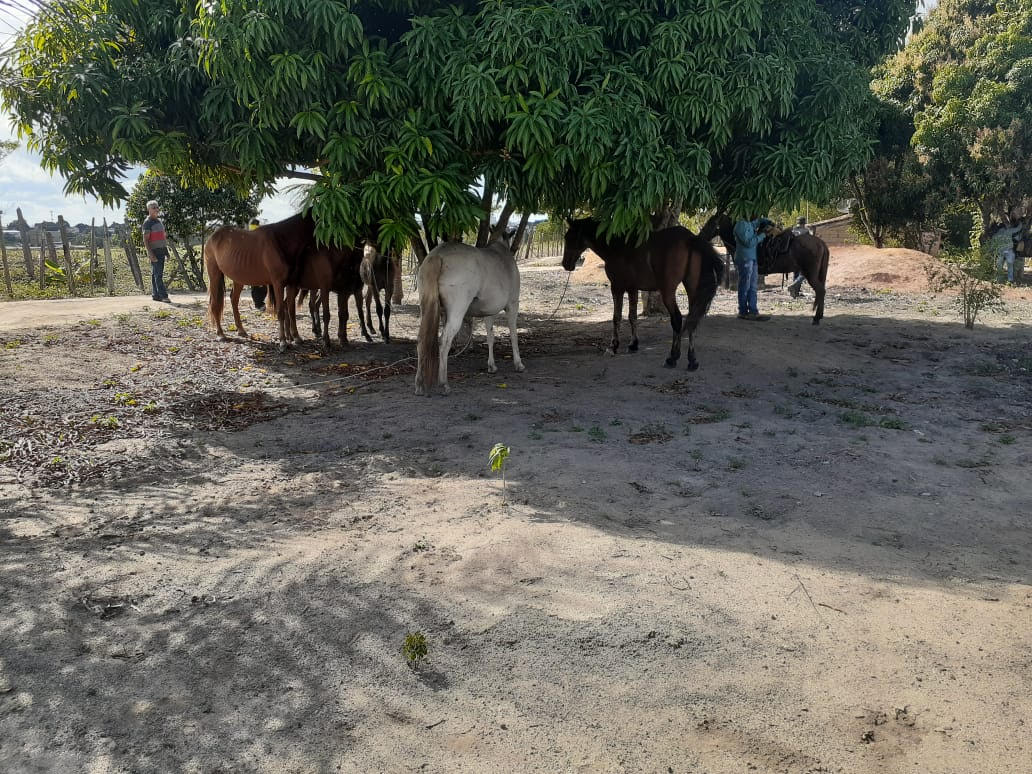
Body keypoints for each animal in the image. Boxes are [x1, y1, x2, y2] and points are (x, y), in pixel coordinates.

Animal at [412, 238, 524, 396]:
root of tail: (438, 255)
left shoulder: (489, 312)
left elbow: (490, 337)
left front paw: (492, 366)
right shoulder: (513, 305)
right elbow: (514, 335)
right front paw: (518, 364)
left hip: (427, 308)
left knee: (422, 339)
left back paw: (419, 385)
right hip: (457, 310)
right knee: (444, 341)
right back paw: (444, 384)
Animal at [565, 216, 726, 371]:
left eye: (568, 237)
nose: (566, 264)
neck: (618, 247)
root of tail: (690, 238)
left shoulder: (617, 287)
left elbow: (616, 317)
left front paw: (613, 346)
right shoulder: (632, 289)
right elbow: (632, 316)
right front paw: (633, 345)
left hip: (668, 291)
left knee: (677, 319)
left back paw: (672, 358)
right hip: (692, 288)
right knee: (692, 320)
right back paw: (692, 361)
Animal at [697, 212, 833, 324]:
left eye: (711, 223)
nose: (701, 236)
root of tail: (821, 243)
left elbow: (745, 290)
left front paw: (745, 312)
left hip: (810, 274)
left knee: (820, 291)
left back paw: (816, 318)